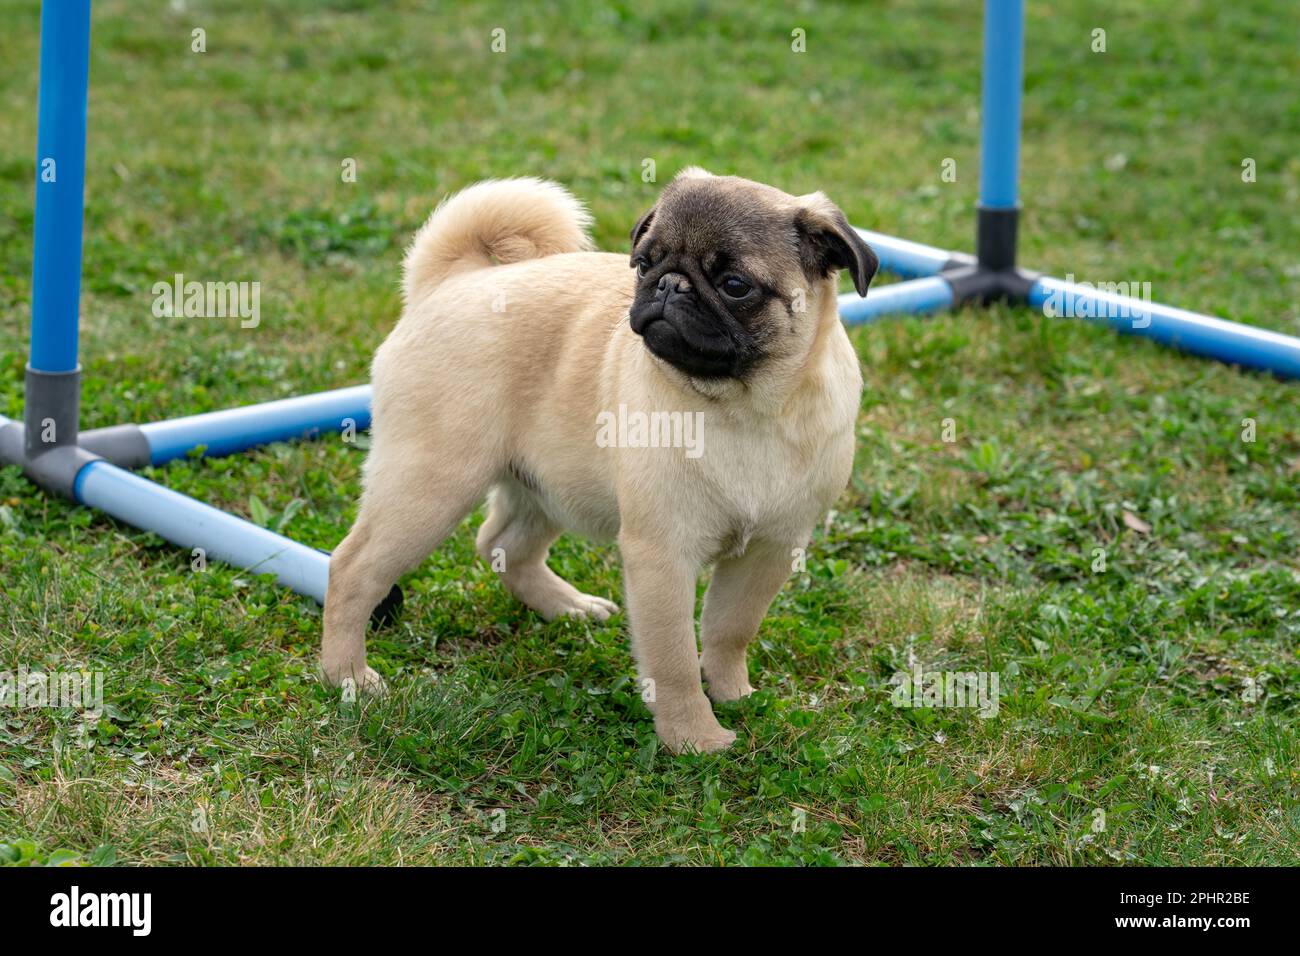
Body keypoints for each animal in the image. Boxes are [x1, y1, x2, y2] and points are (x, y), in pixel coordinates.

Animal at [319, 170, 878, 754]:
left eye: (735, 285)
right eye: (644, 263)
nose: (668, 285)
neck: (747, 409)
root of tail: (453, 280)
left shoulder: (770, 550)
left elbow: (729, 630)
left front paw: (734, 693)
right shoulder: (662, 556)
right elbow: (673, 660)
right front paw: (694, 737)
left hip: (548, 487)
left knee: (502, 545)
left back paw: (569, 608)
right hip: (431, 486)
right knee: (353, 569)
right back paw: (347, 677)